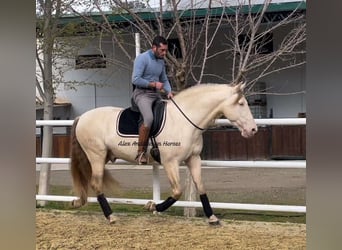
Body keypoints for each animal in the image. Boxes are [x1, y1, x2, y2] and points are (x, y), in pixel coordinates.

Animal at [69, 82, 256, 225]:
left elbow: (201, 186)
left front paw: (212, 217)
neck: (184, 121)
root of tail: (82, 117)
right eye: (241, 104)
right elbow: (177, 191)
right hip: (96, 156)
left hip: (102, 156)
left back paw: (81, 203)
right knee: (96, 183)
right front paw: (152, 206)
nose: (253, 130)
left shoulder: (193, 159)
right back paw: (111, 216)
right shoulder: (170, 162)